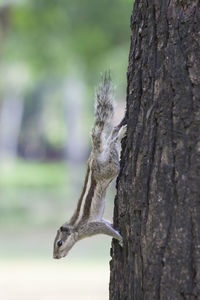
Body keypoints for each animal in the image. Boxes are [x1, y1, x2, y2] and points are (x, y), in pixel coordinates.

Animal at [52, 72, 125, 258]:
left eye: (59, 243)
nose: (55, 257)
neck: (76, 229)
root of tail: (94, 155)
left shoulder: (92, 227)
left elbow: (106, 229)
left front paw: (120, 238)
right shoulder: (99, 220)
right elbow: (106, 222)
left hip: (108, 169)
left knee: (112, 149)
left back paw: (121, 134)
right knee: (109, 138)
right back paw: (118, 130)